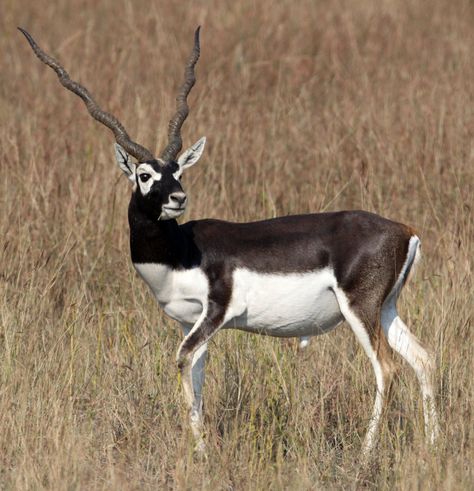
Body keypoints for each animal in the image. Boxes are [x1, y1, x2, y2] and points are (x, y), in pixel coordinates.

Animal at [20, 26, 438, 456]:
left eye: (177, 171)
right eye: (145, 175)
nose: (178, 198)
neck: (181, 252)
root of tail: (404, 230)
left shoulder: (217, 312)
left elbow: (180, 361)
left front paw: (201, 452)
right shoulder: (190, 321)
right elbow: (196, 376)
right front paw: (201, 450)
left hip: (360, 310)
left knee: (387, 368)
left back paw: (365, 452)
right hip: (385, 309)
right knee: (424, 359)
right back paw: (433, 443)